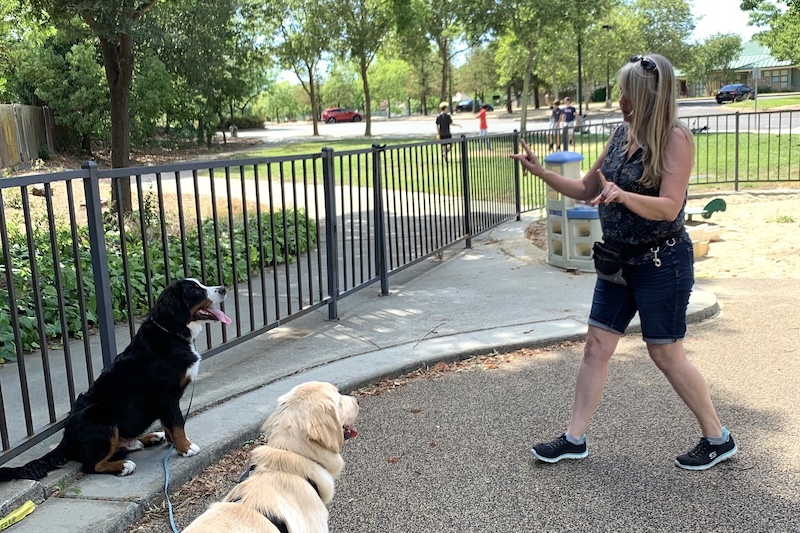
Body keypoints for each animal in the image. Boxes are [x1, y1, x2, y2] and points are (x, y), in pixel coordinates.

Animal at [0, 276, 231, 480]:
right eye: (196, 290)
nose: (223, 289)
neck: (170, 333)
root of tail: (66, 439)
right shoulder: (167, 397)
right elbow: (176, 425)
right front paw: (186, 448)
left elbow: (170, 426)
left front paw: (173, 443)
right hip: (102, 416)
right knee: (90, 465)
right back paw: (123, 465)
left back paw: (148, 438)